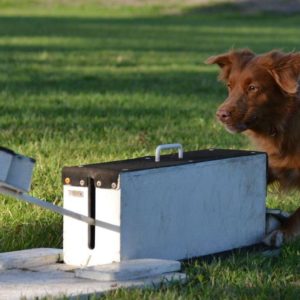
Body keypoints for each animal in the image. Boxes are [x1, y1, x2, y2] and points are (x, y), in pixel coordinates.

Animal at [206, 49, 300, 246]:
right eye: (229, 86)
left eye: (253, 88)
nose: (220, 114)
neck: (285, 122)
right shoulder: (276, 163)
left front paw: (282, 232)